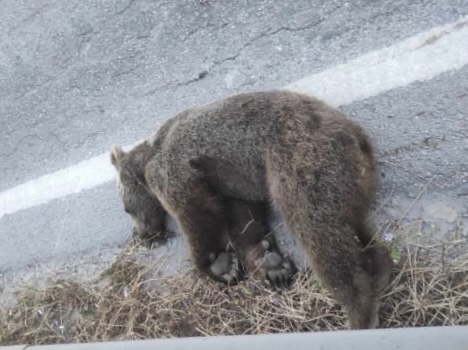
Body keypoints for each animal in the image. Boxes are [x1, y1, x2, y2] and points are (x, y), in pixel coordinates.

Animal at [109, 89, 392, 330]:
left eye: (126, 209)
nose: (144, 233)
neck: (147, 157)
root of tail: (357, 136)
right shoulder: (233, 182)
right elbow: (244, 217)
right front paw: (269, 262)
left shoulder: (175, 169)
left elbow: (195, 211)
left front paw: (218, 264)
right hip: (348, 178)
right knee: (355, 228)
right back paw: (380, 269)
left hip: (302, 160)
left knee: (319, 231)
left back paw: (359, 311)